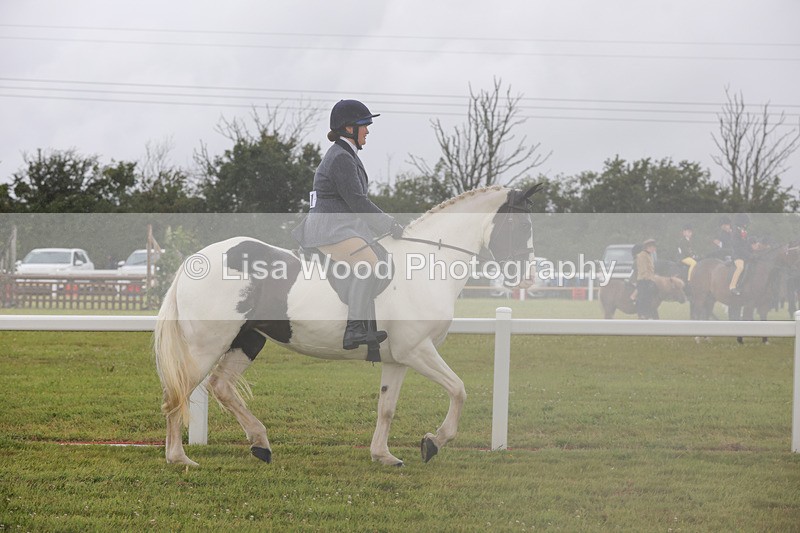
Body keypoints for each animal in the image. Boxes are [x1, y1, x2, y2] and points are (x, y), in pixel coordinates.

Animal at [154, 185, 539, 467]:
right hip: (207, 344)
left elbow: (387, 407)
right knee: (178, 393)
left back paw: (260, 443)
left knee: (220, 386)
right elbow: (459, 389)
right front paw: (433, 442)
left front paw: (383, 455)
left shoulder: (398, 358)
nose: (527, 278)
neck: (429, 264)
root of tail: (194, 259)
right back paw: (179, 458)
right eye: (521, 226)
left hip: (247, 340)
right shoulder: (418, 351)